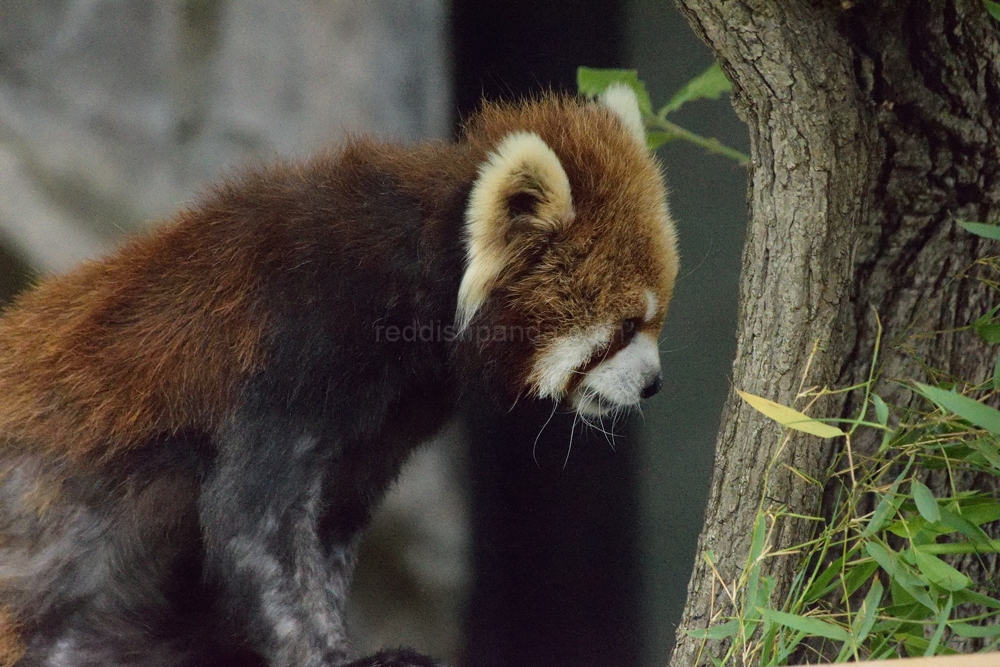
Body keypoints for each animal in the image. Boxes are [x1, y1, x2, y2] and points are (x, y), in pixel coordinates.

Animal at [0, 87, 680, 667]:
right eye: (625, 326)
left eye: (656, 320)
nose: (653, 385)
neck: (412, 276)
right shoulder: (300, 339)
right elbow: (251, 523)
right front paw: (332, 655)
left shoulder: (394, 411)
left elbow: (330, 522)